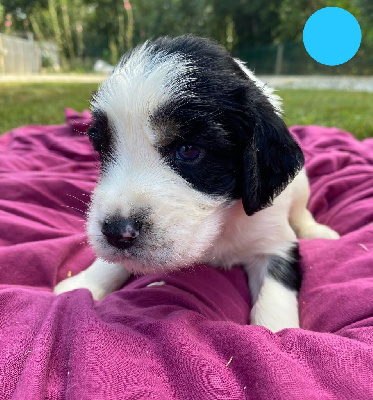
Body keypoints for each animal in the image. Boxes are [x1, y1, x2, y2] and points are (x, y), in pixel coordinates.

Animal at [54, 35, 338, 332]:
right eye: (103, 148)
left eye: (189, 150)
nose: (117, 232)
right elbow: (111, 262)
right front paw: (85, 282)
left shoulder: (276, 242)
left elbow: (275, 294)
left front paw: (275, 332)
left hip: (301, 184)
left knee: (301, 211)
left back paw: (316, 230)